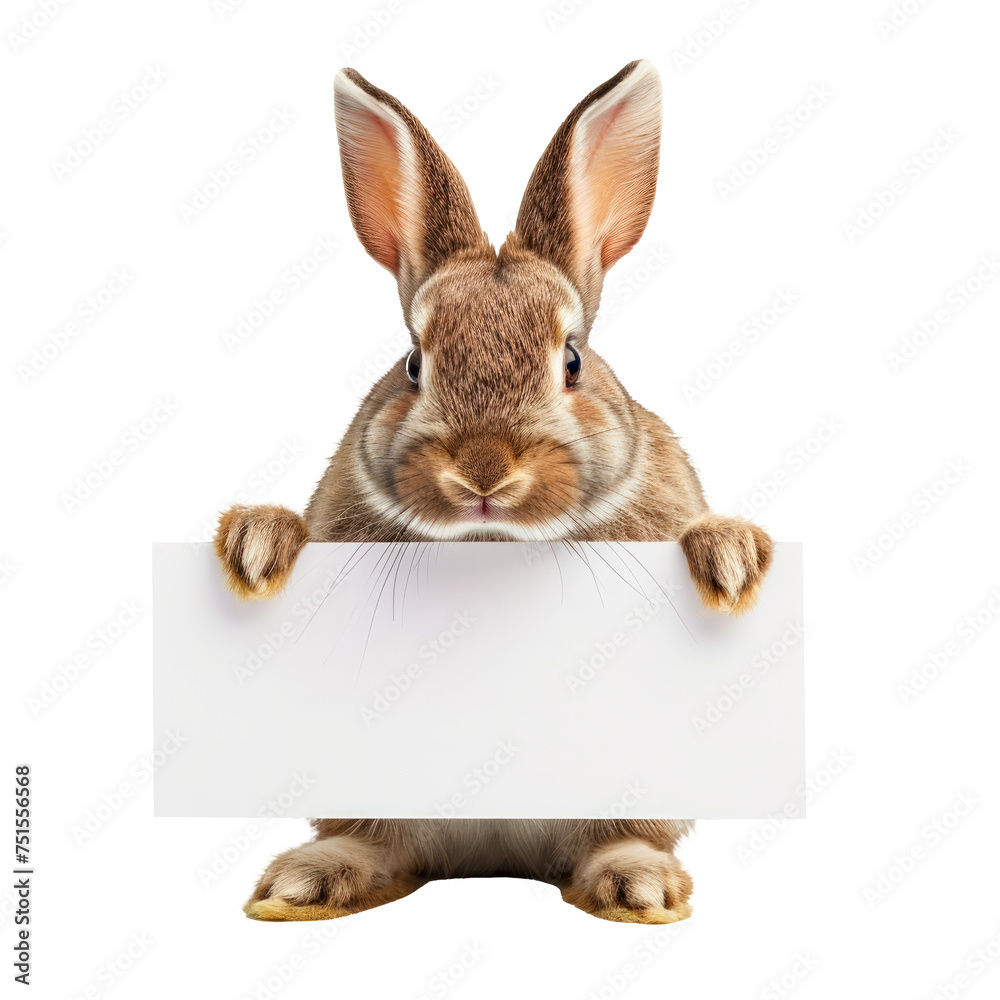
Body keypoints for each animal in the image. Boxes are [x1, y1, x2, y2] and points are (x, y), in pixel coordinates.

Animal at [214, 60, 773, 924]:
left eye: (572, 360)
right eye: (414, 363)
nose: (482, 471)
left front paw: (731, 553)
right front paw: (257, 540)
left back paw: (635, 886)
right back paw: (308, 880)